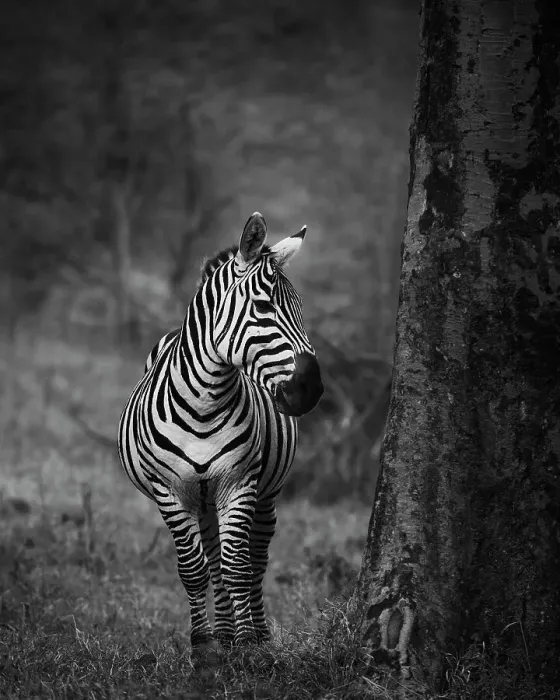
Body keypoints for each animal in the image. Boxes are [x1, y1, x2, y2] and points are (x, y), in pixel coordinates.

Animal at [117, 212, 323, 650]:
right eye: (263, 307)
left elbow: (238, 567)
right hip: (202, 497)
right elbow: (194, 569)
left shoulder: (239, 482)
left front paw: (247, 644)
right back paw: (223, 633)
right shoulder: (170, 491)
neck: (203, 405)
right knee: (212, 558)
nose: (312, 389)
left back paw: (254, 633)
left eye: (300, 309)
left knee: (256, 557)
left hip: (263, 491)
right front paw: (204, 644)